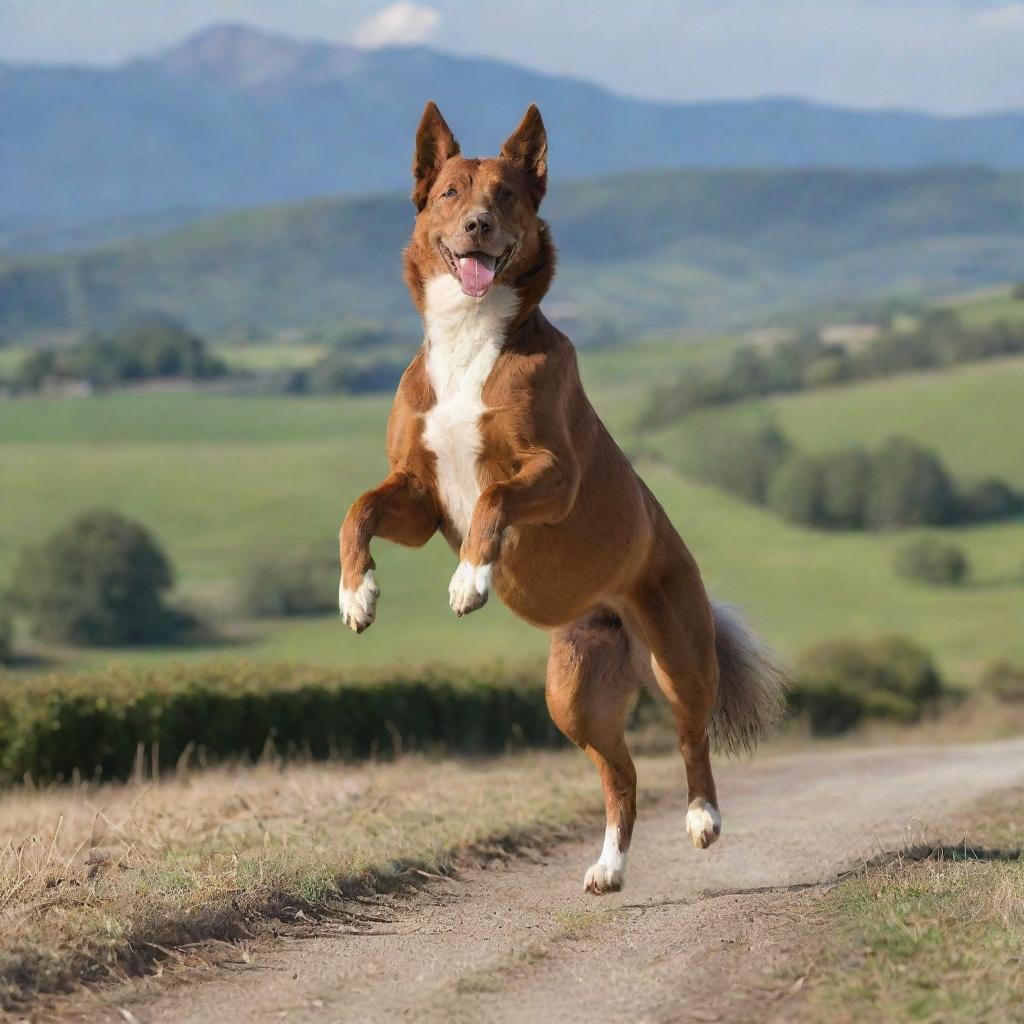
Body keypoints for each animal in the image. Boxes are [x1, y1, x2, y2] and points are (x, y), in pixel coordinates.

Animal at [337, 99, 782, 892]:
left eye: (507, 195)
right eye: (450, 192)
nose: (479, 224)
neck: (470, 340)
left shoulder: (555, 475)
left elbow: (493, 499)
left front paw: (469, 580)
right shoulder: (419, 498)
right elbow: (358, 510)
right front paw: (356, 596)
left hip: (679, 651)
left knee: (690, 736)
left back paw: (703, 818)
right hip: (574, 695)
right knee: (621, 777)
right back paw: (607, 867)